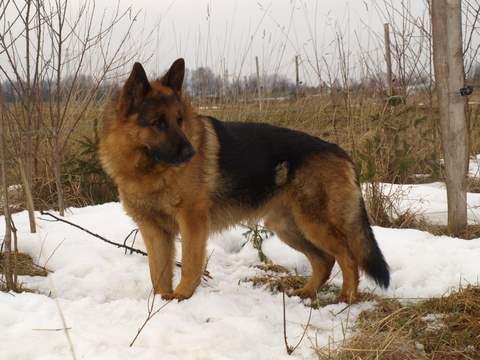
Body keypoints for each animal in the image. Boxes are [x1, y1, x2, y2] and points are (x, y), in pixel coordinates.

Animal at [99, 59, 388, 304]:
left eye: (179, 120)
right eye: (158, 123)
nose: (191, 153)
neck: (148, 170)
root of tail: (340, 151)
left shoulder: (192, 223)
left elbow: (190, 265)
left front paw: (181, 296)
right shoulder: (154, 231)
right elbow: (157, 274)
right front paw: (161, 302)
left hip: (313, 223)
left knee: (347, 258)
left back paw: (347, 299)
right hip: (288, 226)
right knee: (325, 260)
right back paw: (306, 293)